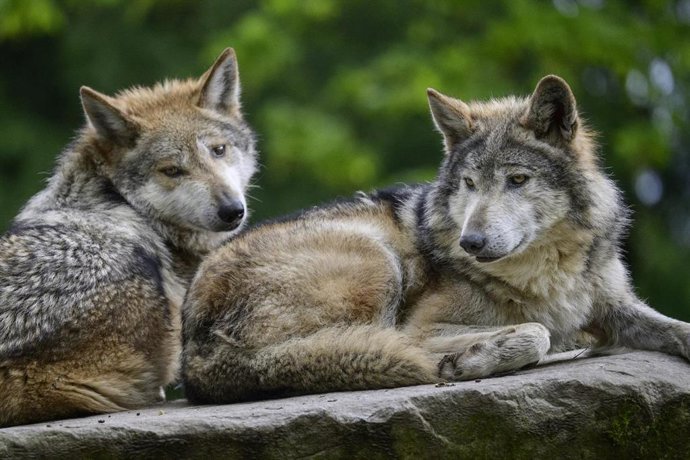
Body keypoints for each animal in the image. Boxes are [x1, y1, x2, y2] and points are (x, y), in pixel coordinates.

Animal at [182, 75, 690, 403]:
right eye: (469, 183)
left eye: (517, 180)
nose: (471, 243)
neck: (547, 273)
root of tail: (193, 354)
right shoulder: (424, 324)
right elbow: (538, 330)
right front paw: (491, 352)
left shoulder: (614, 303)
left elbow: (675, 328)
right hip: (376, 260)